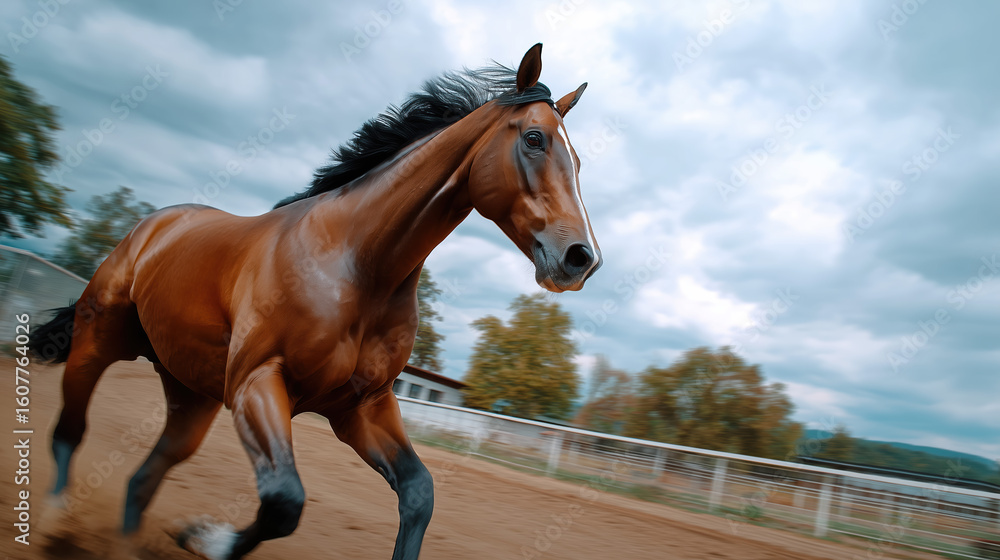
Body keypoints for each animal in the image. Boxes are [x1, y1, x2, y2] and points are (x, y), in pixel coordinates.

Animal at [29, 43, 601, 560]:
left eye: (576, 159)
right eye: (534, 139)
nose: (581, 259)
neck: (356, 266)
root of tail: (154, 225)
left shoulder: (360, 407)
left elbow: (418, 494)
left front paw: (196, 535)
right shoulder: (258, 383)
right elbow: (284, 502)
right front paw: (201, 535)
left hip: (190, 392)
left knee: (144, 477)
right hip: (98, 342)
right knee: (70, 430)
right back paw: (56, 522)